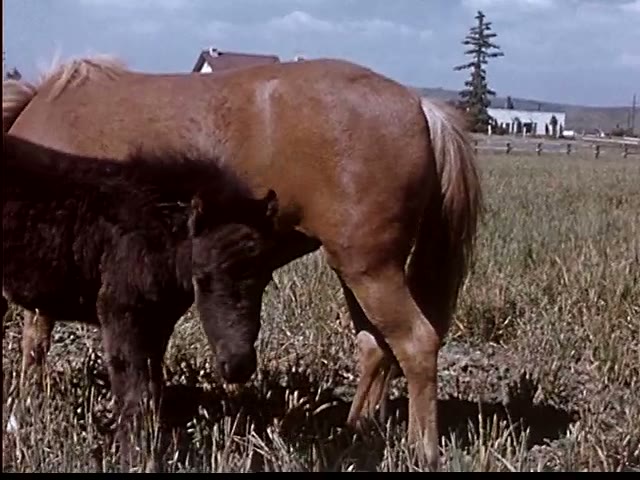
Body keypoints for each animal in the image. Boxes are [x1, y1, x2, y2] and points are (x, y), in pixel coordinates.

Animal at [2, 132, 280, 471]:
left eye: (265, 278)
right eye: (203, 278)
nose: (238, 366)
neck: (161, 235)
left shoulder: (158, 322)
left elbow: (152, 389)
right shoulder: (122, 313)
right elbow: (135, 393)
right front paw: (138, 458)